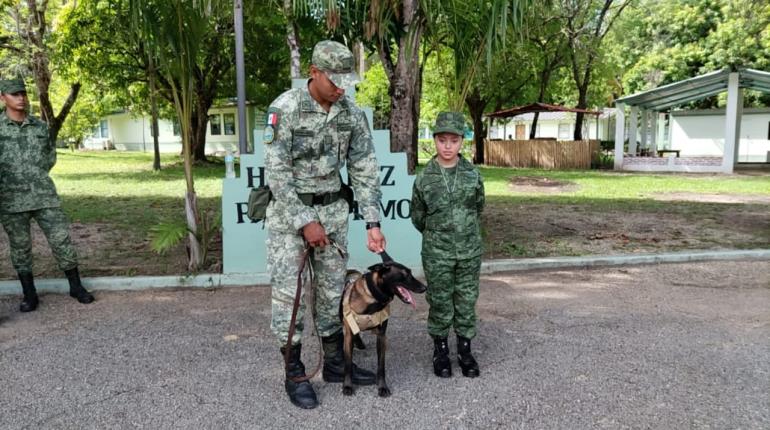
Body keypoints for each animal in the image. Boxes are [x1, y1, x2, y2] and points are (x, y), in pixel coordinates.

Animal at [340, 254, 428, 398]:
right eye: (405, 274)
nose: (424, 288)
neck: (373, 300)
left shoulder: (381, 337)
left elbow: (381, 366)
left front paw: (382, 387)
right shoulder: (348, 335)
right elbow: (347, 364)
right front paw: (347, 385)